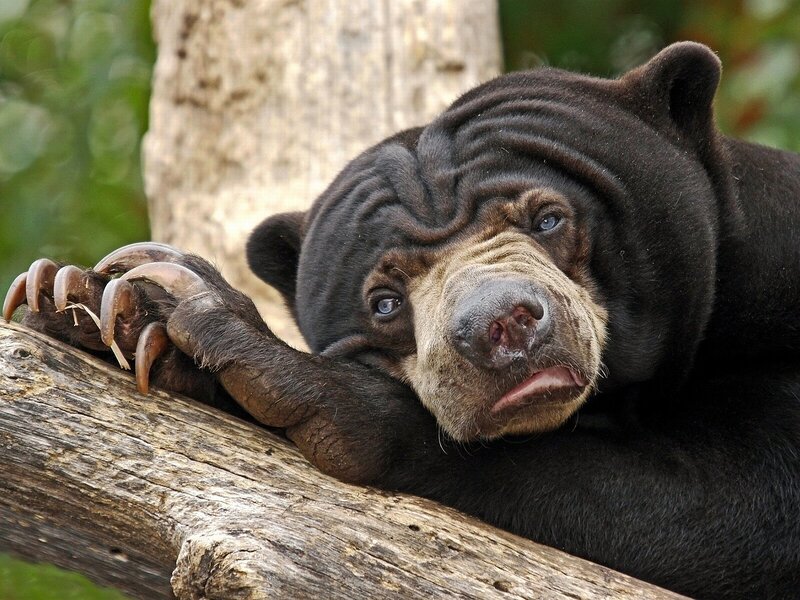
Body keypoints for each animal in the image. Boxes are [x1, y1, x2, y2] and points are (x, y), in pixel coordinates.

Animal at [5, 42, 800, 599]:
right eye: (383, 302)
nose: (502, 325)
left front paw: (272, 366)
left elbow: (731, 518)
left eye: (549, 218)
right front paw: (99, 305)